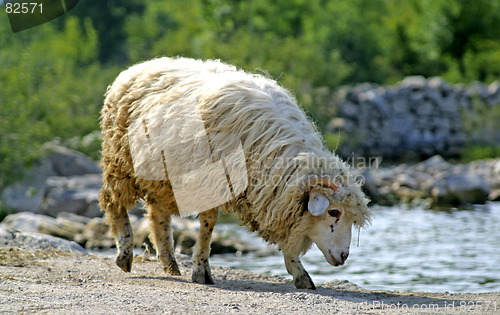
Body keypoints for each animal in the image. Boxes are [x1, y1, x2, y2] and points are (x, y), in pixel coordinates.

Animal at [98, 57, 372, 292]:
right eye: (334, 212)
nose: (344, 257)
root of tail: (140, 65)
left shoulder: (275, 199)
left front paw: (299, 273)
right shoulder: (211, 181)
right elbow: (208, 225)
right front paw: (201, 270)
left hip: (161, 177)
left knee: (158, 215)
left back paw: (169, 262)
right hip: (120, 161)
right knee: (113, 203)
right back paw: (124, 254)